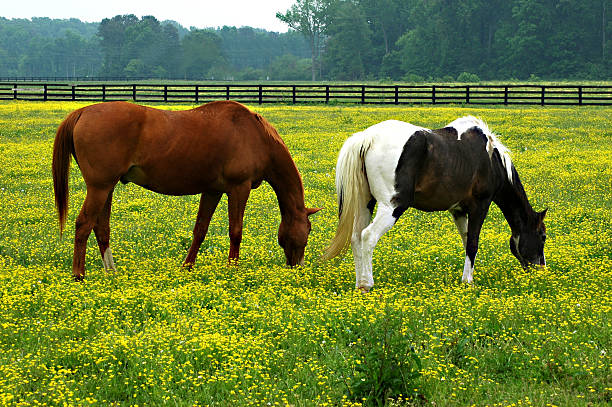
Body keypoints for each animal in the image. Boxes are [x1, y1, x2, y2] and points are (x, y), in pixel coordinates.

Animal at [53, 101, 320, 280]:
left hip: (107, 188)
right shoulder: (238, 188)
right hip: (99, 188)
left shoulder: (212, 191)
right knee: (83, 224)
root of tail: (82, 112)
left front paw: (187, 266)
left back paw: (111, 270)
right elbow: (235, 231)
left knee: (101, 227)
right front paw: (232, 268)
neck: (255, 135)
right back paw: (79, 274)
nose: (298, 266)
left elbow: (200, 230)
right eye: (307, 230)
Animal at [322, 116, 548, 292]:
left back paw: (359, 283)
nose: (541, 270)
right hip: (392, 207)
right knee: (368, 236)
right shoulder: (480, 206)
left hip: (365, 204)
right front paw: (468, 281)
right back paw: (367, 284)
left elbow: (466, 241)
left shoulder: (459, 211)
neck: (490, 158)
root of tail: (367, 137)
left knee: (356, 237)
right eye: (543, 236)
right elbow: (473, 243)